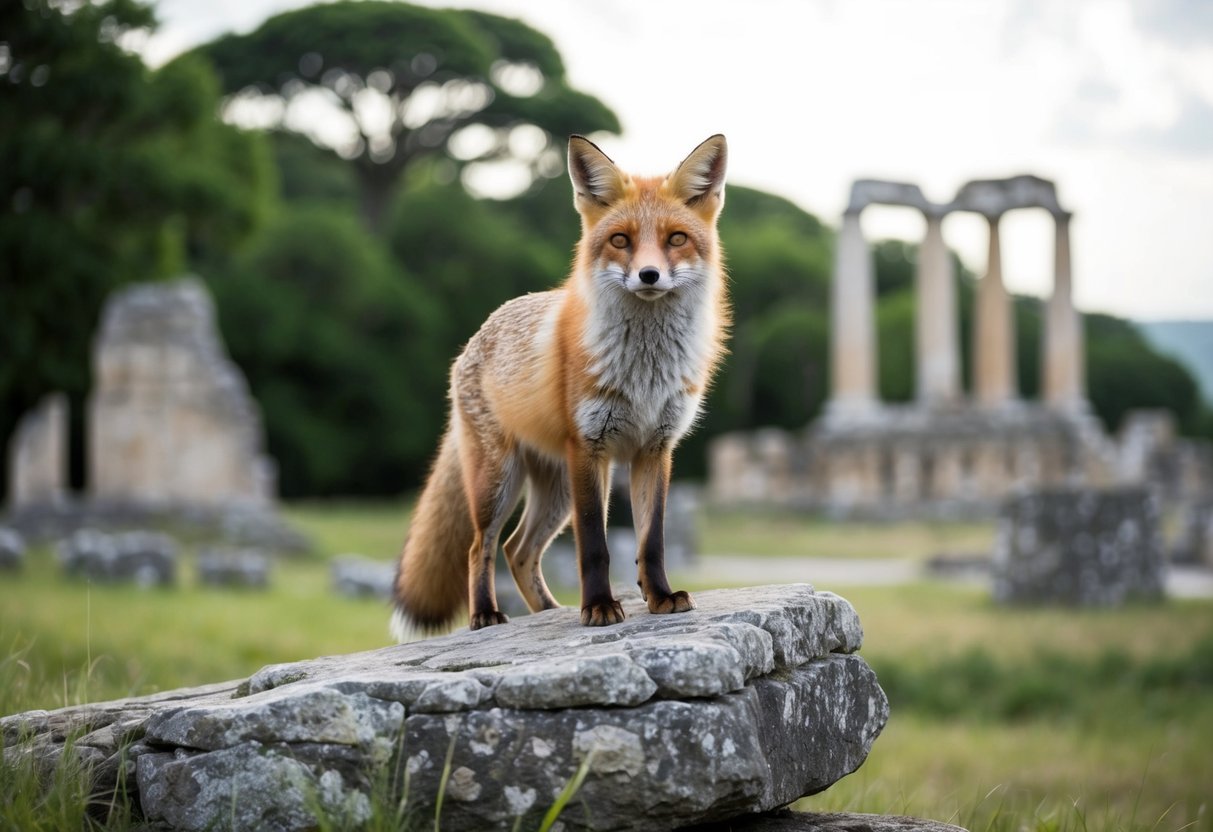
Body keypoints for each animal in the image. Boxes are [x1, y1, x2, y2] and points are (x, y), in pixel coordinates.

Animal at [391, 133, 729, 639]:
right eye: (620, 240)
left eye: (676, 239)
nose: (649, 275)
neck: (645, 371)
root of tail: (476, 336)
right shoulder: (589, 447)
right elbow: (595, 547)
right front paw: (599, 607)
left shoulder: (655, 449)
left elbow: (651, 542)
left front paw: (661, 597)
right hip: (503, 481)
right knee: (481, 546)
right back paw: (485, 615)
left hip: (557, 491)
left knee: (518, 550)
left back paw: (548, 611)